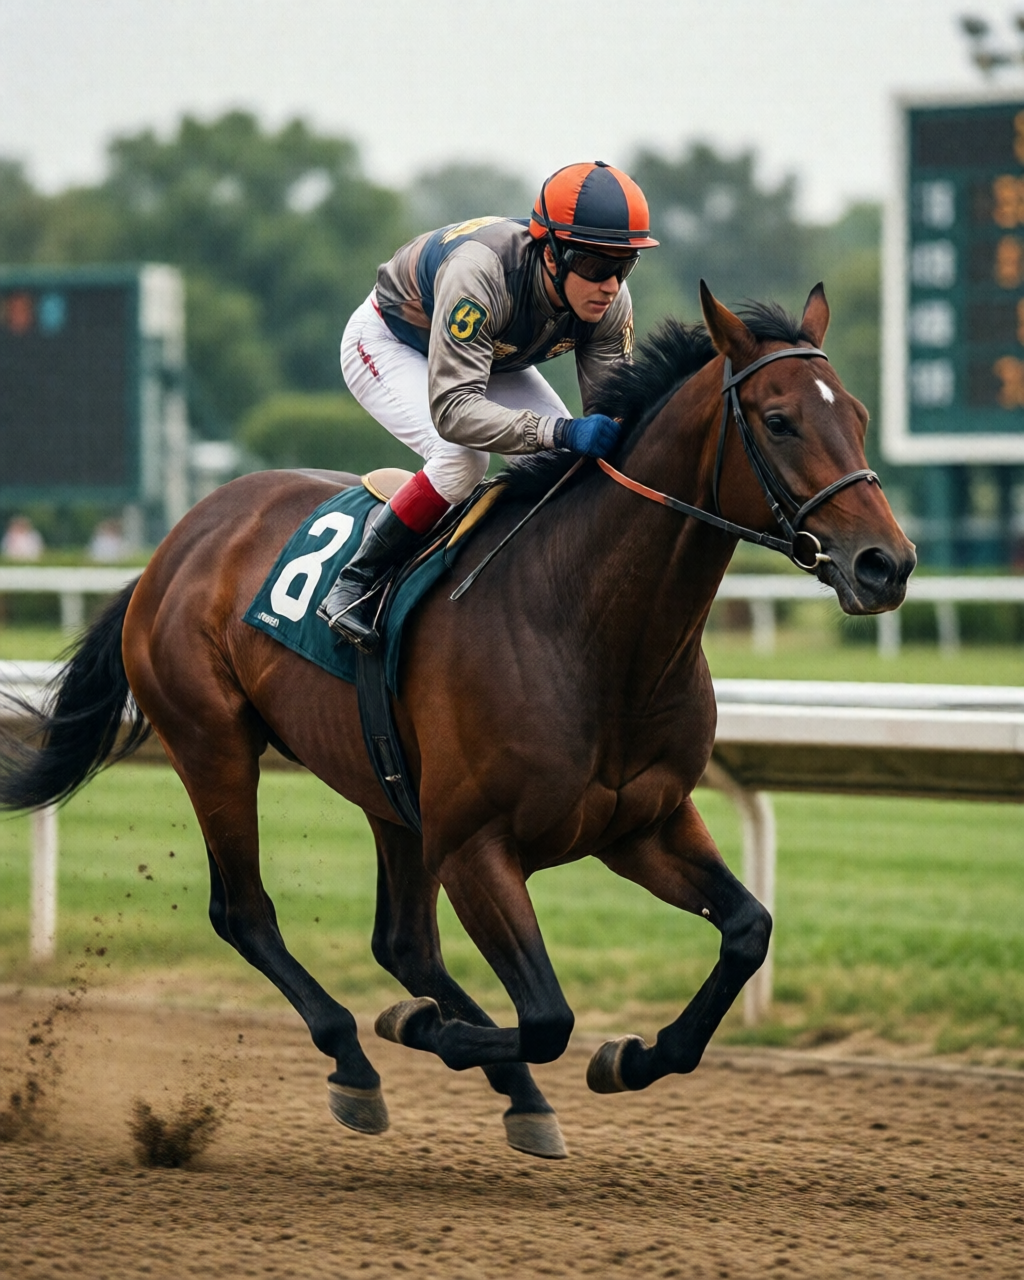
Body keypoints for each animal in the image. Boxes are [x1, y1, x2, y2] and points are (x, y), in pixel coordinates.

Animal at [0, 283, 915, 1160]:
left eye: (859, 415)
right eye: (779, 419)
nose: (887, 564)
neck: (590, 628)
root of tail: (175, 543)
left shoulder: (641, 824)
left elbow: (747, 932)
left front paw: (630, 1057)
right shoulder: (476, 846)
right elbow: (547, 1016)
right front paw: (419, 1028)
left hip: (388, 791)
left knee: (402, 942)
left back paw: (509, 1092)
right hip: (213, 744)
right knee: (247, 913)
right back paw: (356, 1059)